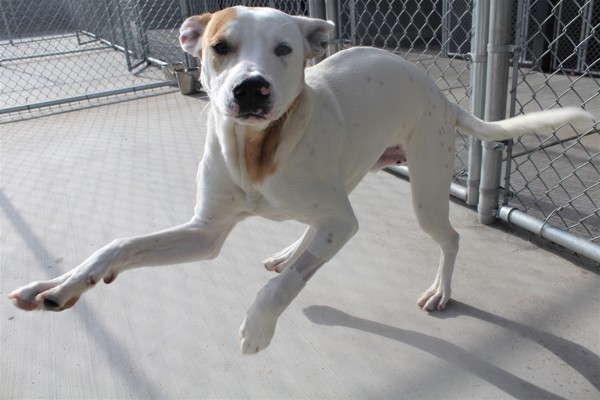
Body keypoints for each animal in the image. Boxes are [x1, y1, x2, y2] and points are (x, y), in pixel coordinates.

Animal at [8, 6, 592, 354]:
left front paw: (256, 327)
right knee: (316, 234)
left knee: (447, 238)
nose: (251, 89)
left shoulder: (340, 223)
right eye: (220, 47)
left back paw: (440, 291)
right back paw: (292, 248)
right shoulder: (205, 234)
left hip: (424, 193)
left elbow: (283, 287)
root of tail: (436, 90)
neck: (255, 151)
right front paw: (59, 286)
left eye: (284, 49)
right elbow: (118, 246)